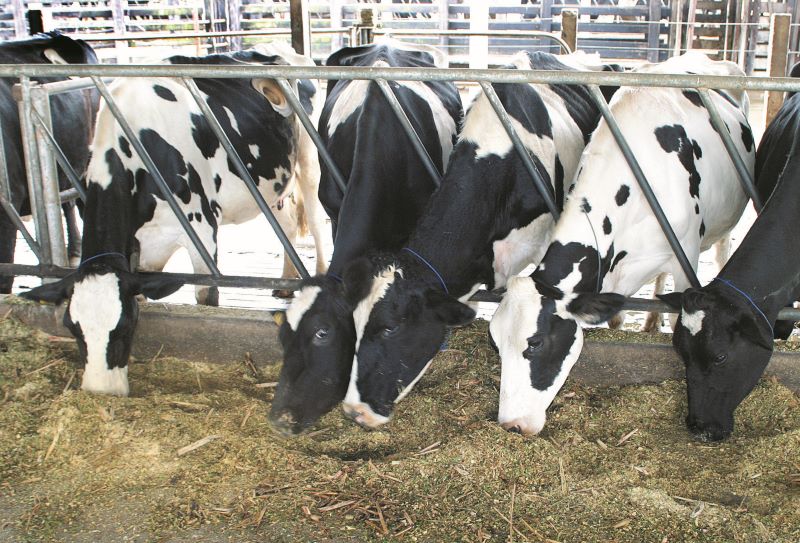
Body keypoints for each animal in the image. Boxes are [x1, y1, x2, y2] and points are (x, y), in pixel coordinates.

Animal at [21, 43, 327, 397]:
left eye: (124, 327)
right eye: (73, 328)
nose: (101, 391)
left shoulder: (201, 227)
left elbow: (206, 298)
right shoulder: (140, 244)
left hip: (310, 161)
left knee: (316, 221)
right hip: (272, 182)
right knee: (288, 223)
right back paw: (286, 281)